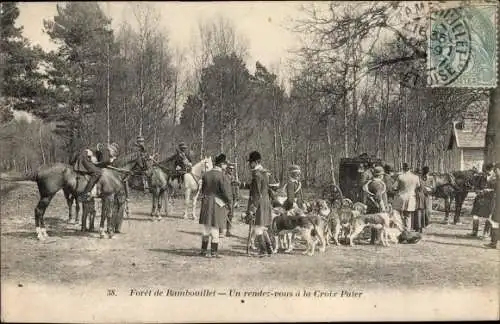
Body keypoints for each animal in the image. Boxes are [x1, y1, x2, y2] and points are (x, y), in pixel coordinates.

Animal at [0, 153, 152, 240]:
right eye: (146, 161)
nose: (150, 174)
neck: (114, 173)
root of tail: (39, 170)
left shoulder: (104, 198)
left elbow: (103, 215)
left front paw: (102, 232)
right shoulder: (109, 196)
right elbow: (108, 214)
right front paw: (108, 233)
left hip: (46, 196)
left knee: (41, 212)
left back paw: (44, 233)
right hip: (47, 196)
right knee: (39, 211)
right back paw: (39, 234)